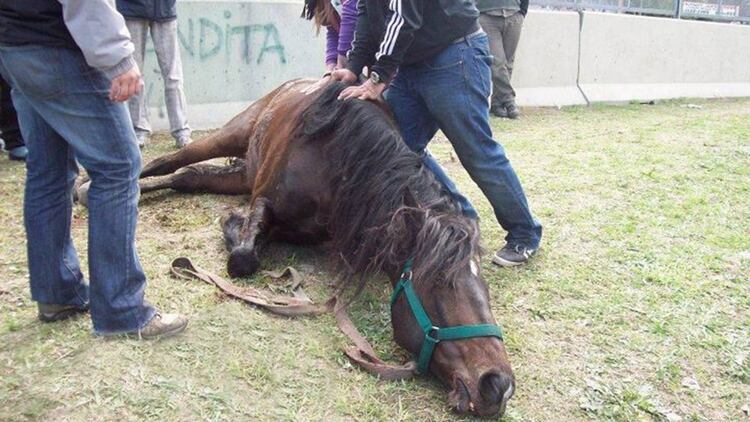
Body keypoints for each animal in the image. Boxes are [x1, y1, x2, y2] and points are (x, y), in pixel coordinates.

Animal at [129, 80, 516, 418]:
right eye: (437, 286)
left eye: (485, 288)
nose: (498, 384)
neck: (338, 162)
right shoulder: (263, 200)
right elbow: (242, 258)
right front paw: (233, 227)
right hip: (233, 134)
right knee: (170, 161)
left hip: (243, 172)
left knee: (190, 176)